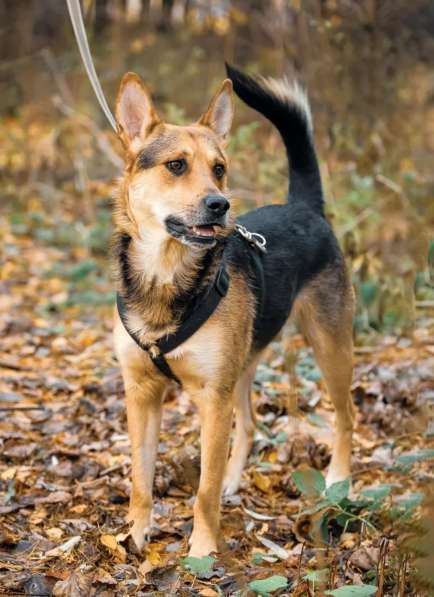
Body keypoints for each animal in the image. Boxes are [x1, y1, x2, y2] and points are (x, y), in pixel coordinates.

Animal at [112, 64, 356, 556]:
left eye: (219, 169)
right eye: (176, 165)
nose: (219, 205)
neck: (166, 276)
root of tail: (304, 206)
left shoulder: (212, 399)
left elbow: (202, 490)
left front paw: (202, 550)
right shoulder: (142, 393)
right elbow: (141, 479)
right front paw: (134, 534)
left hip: (330, 347)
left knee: (345, 417)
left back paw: (339, 480)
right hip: (242, 363)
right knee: (250, 423)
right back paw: (234, 480)